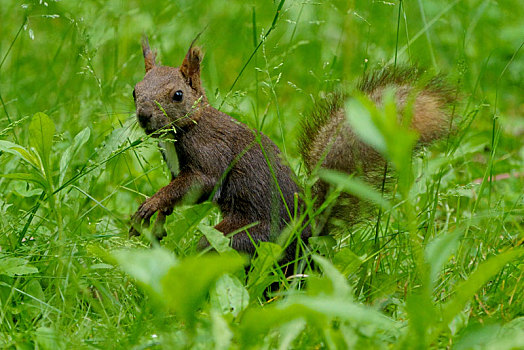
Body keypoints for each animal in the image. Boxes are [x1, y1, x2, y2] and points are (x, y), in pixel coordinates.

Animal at [130, 37, 454, 260]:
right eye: (134, 91)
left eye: (178, 95)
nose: (144, 116)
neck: (187, 128)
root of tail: (308, 232)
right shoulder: (176, 169)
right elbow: (179, 189)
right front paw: (158, 218)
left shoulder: (210, 153)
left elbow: (200, 184)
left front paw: (151, 204)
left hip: (246, 237)